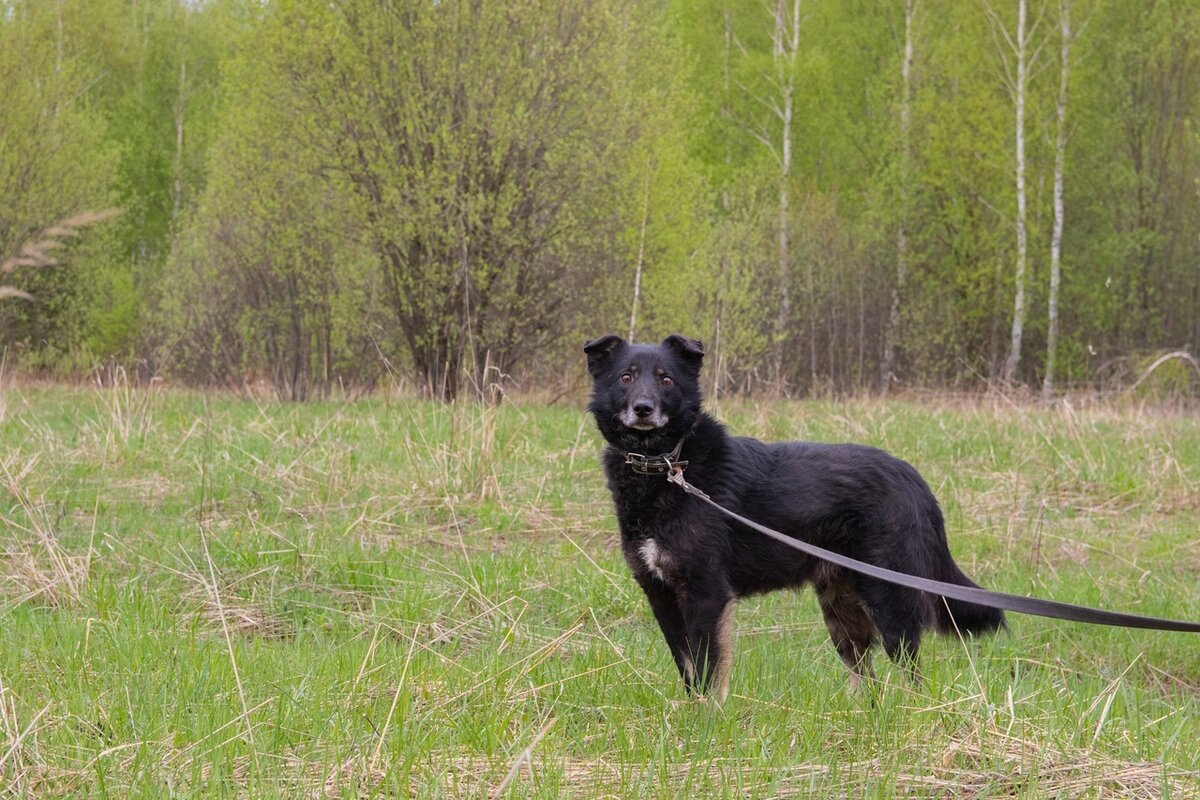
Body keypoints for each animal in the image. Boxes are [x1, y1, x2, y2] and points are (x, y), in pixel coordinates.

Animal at [583, 335, 1003, 695]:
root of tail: (913, 478)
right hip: (841, 610)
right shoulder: (661, 595)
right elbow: (687, 671)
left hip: (890, 599)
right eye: (625, 377)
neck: (666, 464)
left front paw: (707, 722)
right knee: (866, 678)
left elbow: (707, 672)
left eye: (666, 379)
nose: (643, 409)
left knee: (910, 672)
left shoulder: (705, 593)